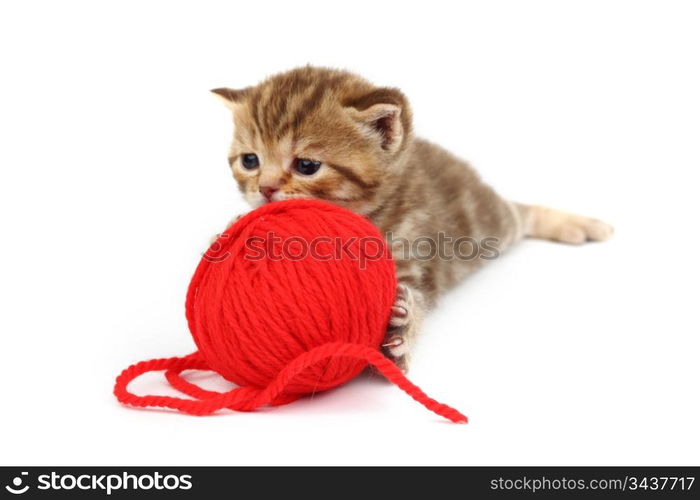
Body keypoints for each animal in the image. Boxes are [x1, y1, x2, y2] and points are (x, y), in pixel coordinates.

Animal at [211, 65, 608, 372]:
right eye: (250, 160)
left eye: (307, 165)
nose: (265, 189)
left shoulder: (413, 251)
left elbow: (417, 296)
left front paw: (400, 333)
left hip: (492, 224)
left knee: (521, 213)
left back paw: (579, 225)